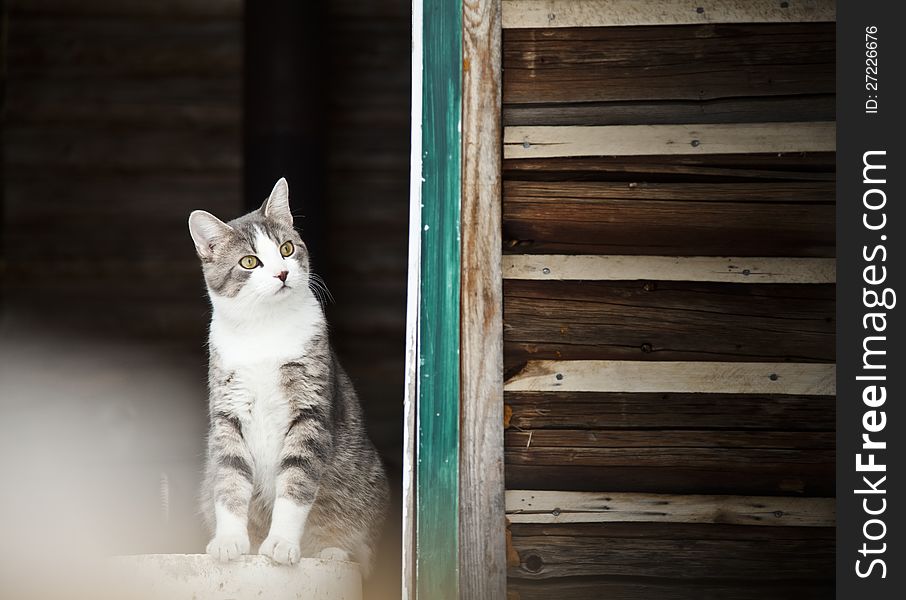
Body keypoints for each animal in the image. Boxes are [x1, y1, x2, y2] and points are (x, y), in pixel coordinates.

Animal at [189, 179, 386, 576]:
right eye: (249, 261)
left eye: (287, 248)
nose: (281, 273)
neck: (264, 328)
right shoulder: (228, 411)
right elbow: (229, 481)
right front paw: (230, 540)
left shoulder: (309, 410)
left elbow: (295, 483)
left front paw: (280, 543)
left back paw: (333, 552)